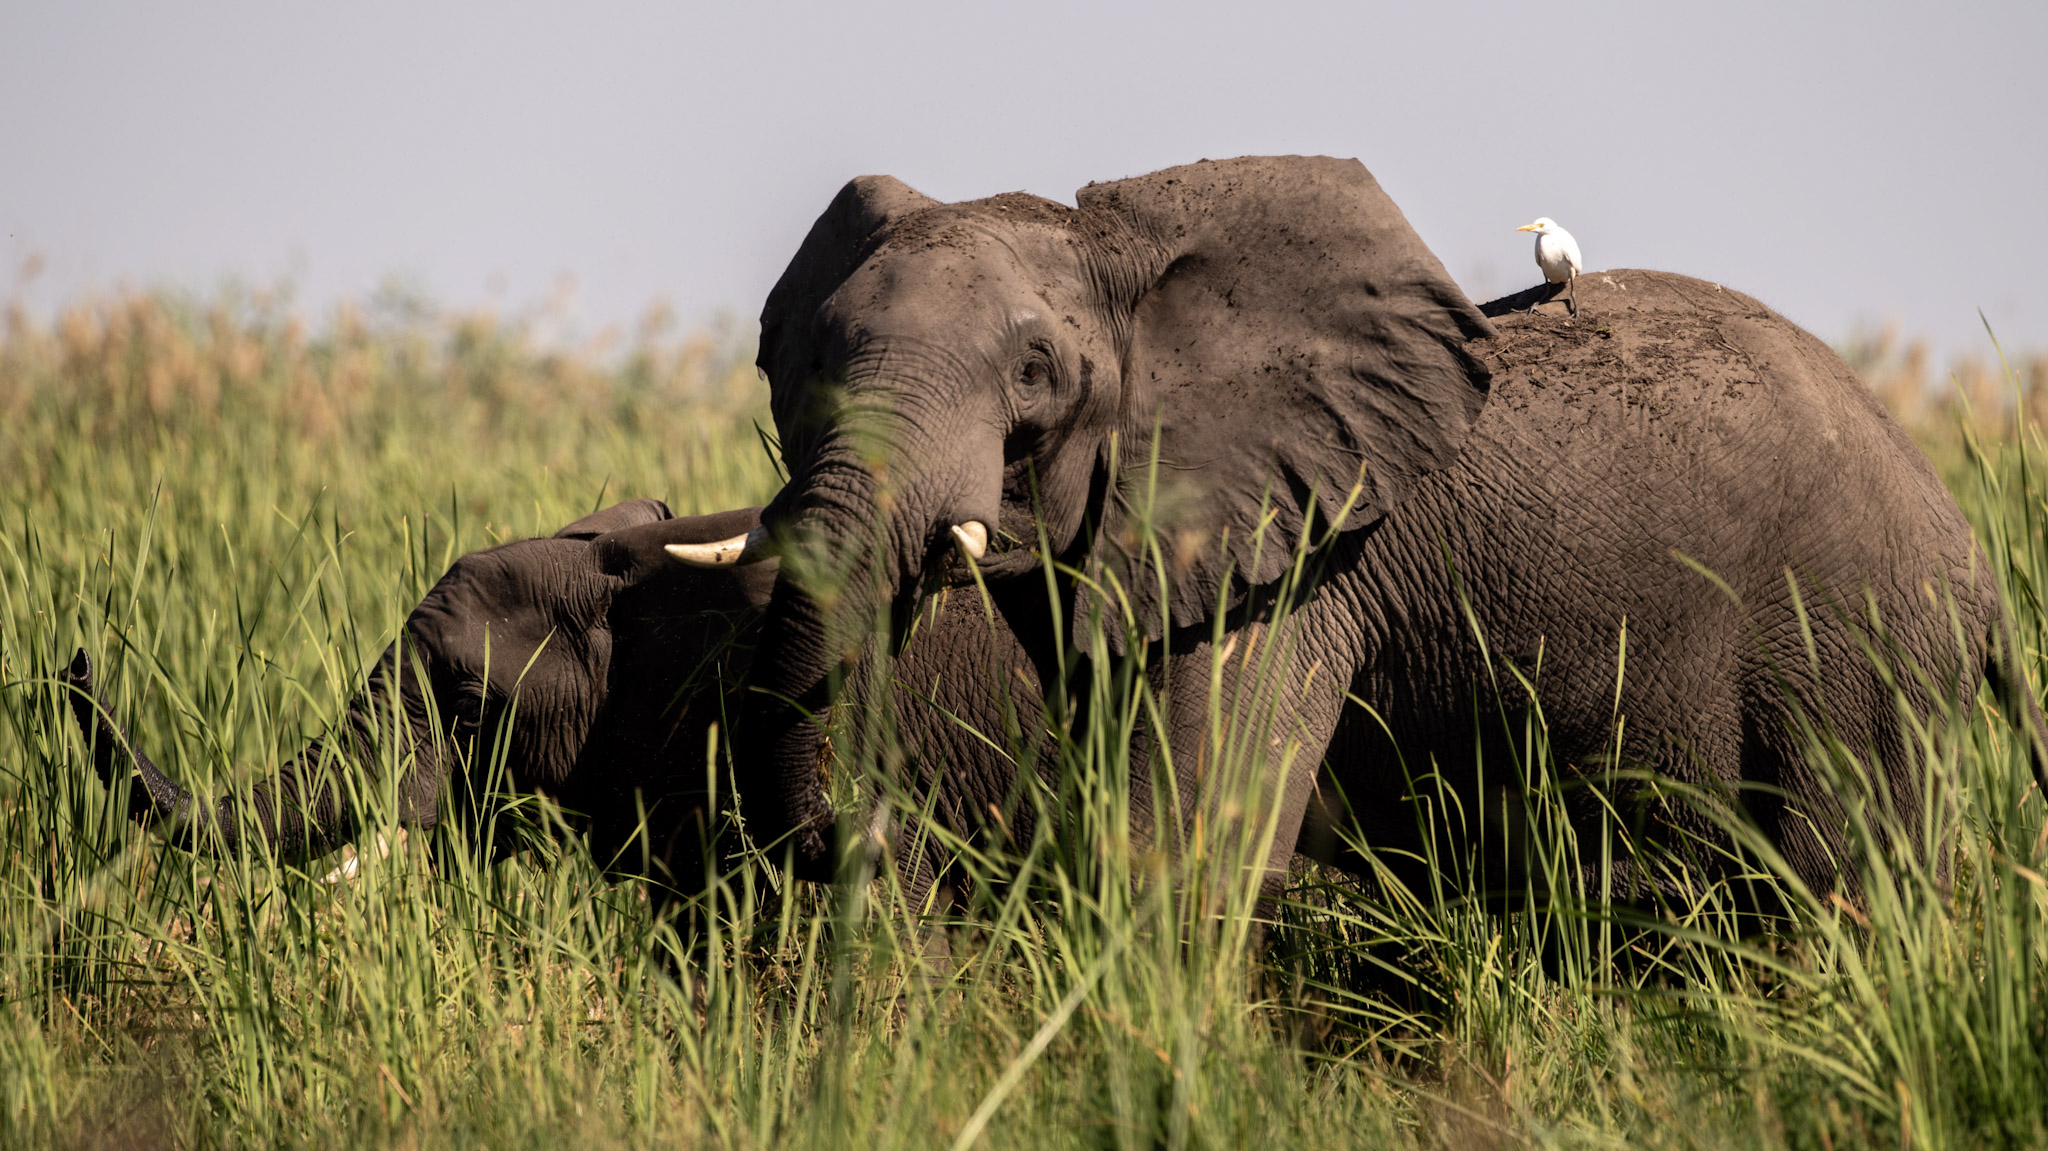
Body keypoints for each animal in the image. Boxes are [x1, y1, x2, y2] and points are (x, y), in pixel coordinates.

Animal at [719, 153, 2048, 911]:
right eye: (804, 358)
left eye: (1035, 372)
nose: (863, 831)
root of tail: (1976, 569)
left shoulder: (1291, 561)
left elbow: (1178, 839)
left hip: (1858, 654)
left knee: (1839, 892)